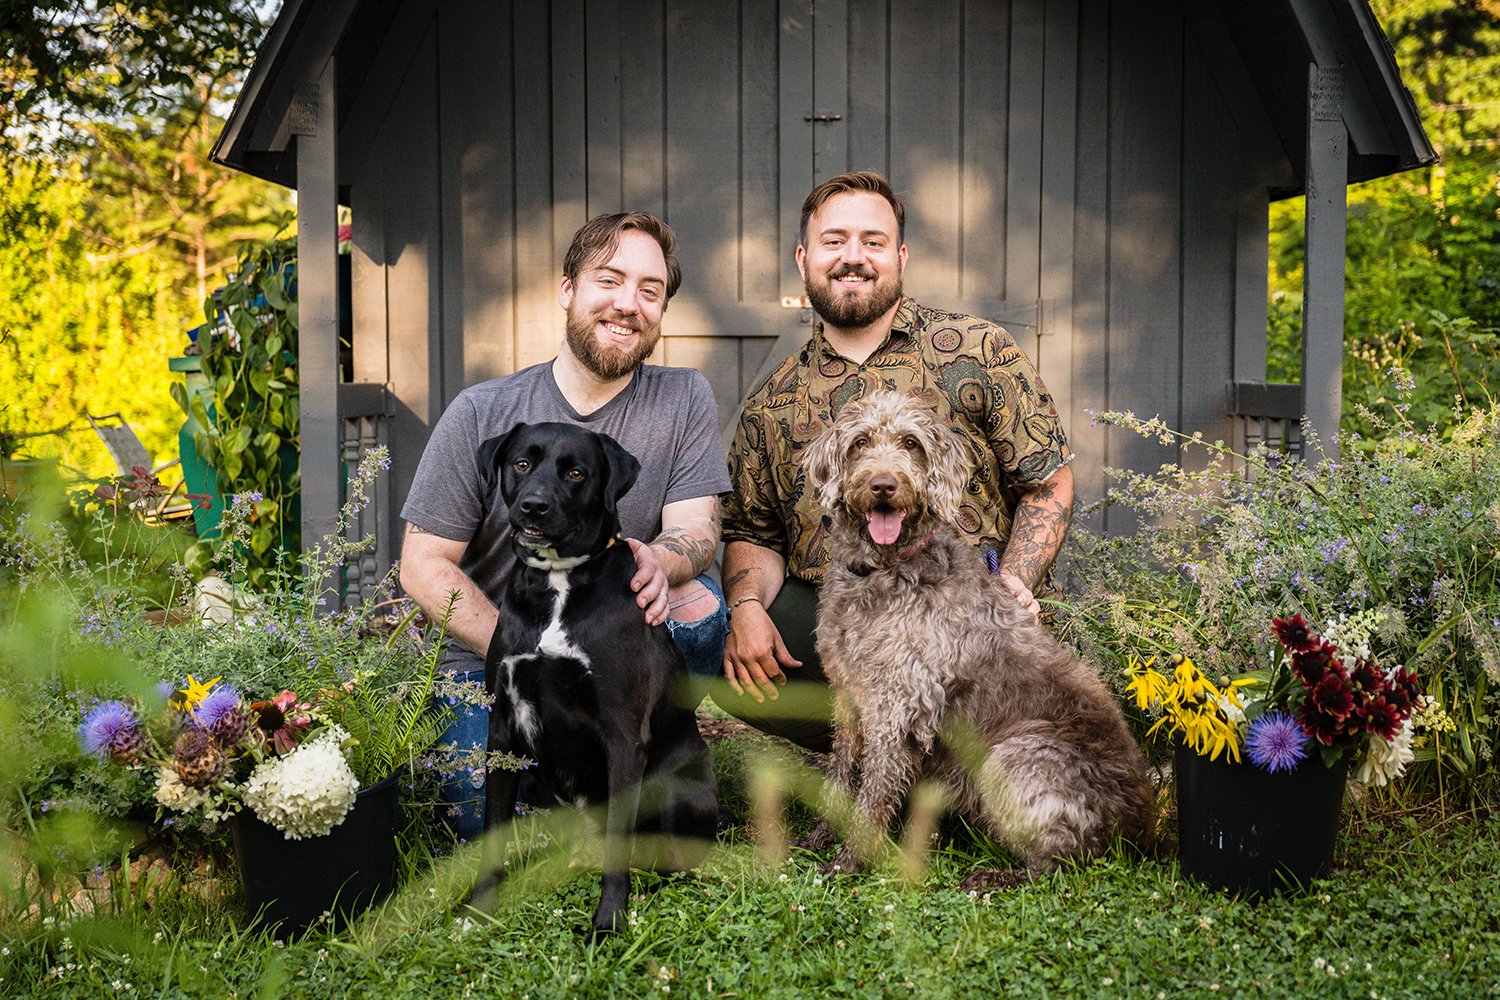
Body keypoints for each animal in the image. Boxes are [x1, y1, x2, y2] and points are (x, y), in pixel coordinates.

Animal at [477, 419, 717, 941]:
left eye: (575, 473)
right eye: (521, 463)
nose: (534, 506)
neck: (558, 585)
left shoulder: (623, 735)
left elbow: (618, 848)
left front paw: (608, 923)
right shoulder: (502, 727)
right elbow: (491, 829)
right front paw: (478, 911)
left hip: (672, 789)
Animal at [804, 389, 1152, 875]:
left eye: (911, 444)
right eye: (859, 443)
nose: (884, 485)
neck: (883, 570)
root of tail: (1142, 832)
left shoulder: (897, 706)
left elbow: (873, 793)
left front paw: (849, 861)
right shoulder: (850, 696)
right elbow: (840, 772)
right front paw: (820, 836)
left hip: (1011, 757)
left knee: (1061, 861)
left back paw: (992, 877)